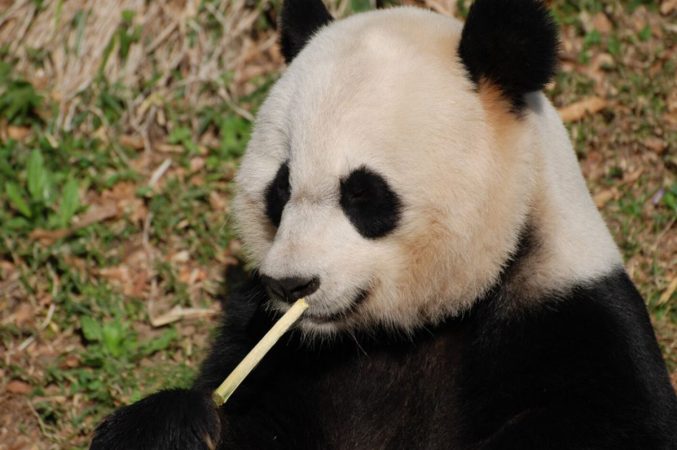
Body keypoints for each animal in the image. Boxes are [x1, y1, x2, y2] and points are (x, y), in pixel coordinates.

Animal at [91, 0, 677, 448]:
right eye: (280, 188)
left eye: (363, 194)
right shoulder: (271, 341)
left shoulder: (571, 316)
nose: (291, 284)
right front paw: (172, 425)